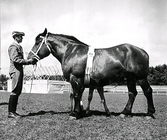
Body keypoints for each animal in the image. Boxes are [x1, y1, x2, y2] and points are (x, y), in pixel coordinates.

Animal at [27, 28, 155, 119]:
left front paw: (74, 114)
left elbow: (77, 95)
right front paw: (79, 112)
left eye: (38, 42)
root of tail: (143, 51)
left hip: (141, 77)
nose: (29, 58)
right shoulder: (82, 82)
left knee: (147, 91)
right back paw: (125, 112)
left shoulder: (76, 78)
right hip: (130, 78)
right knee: (132, 93)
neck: (71, 52)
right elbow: (78, 95)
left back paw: (149, 113)